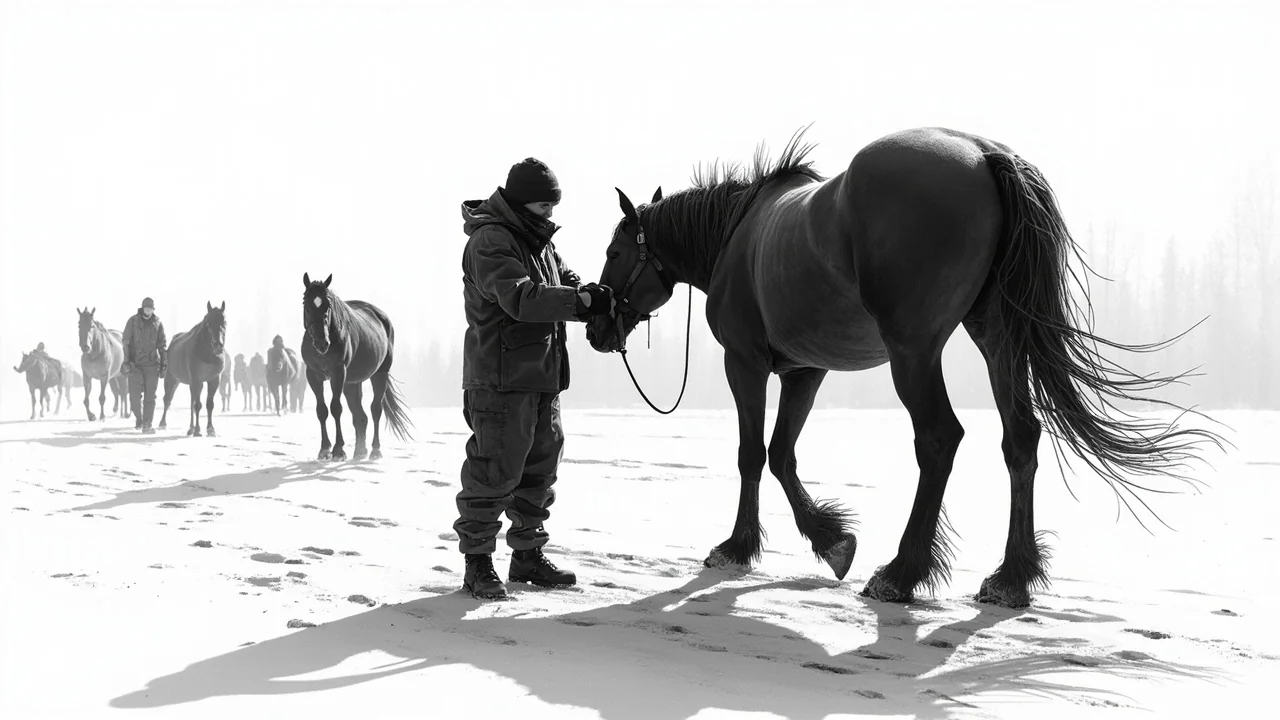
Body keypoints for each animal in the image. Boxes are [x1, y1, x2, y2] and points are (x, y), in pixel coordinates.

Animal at [159, 301, 227, 437]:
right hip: (172, 378)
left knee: (191, 401)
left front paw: (210, 429)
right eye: (208, 323)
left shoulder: (213, 380)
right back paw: (163, 424)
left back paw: (190, 428)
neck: (207, 353)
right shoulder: (196, 379)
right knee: (168, 399)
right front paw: (197, 430)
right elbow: (197, 405)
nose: (218, 346)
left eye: (224, 322)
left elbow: (209, 404)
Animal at [300, 273, 413, 460]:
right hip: (352, 383)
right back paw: (360, 450)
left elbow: (336, 408)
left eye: (328, 305)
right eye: (306, 305)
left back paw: (375, 450)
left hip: (379, 374)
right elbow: (321, 410)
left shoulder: (338, 374)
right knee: (360, 417)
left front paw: (338, 450)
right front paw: (324, 449)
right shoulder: (313, 375)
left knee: (375, 410)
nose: (322, 343)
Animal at [585, 127, 1225, 609]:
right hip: (995, 339)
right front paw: (833, 541)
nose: (596, 328)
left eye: (615, 252)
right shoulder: (805, 372)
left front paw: (739, 547)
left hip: (914, 353)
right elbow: (782, 454)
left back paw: (902, 573)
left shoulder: (745, 363)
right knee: (1019, 438)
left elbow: (752, 455)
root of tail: (982, 154)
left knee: (940, 439)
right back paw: (1009, 578)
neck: (736, 235)